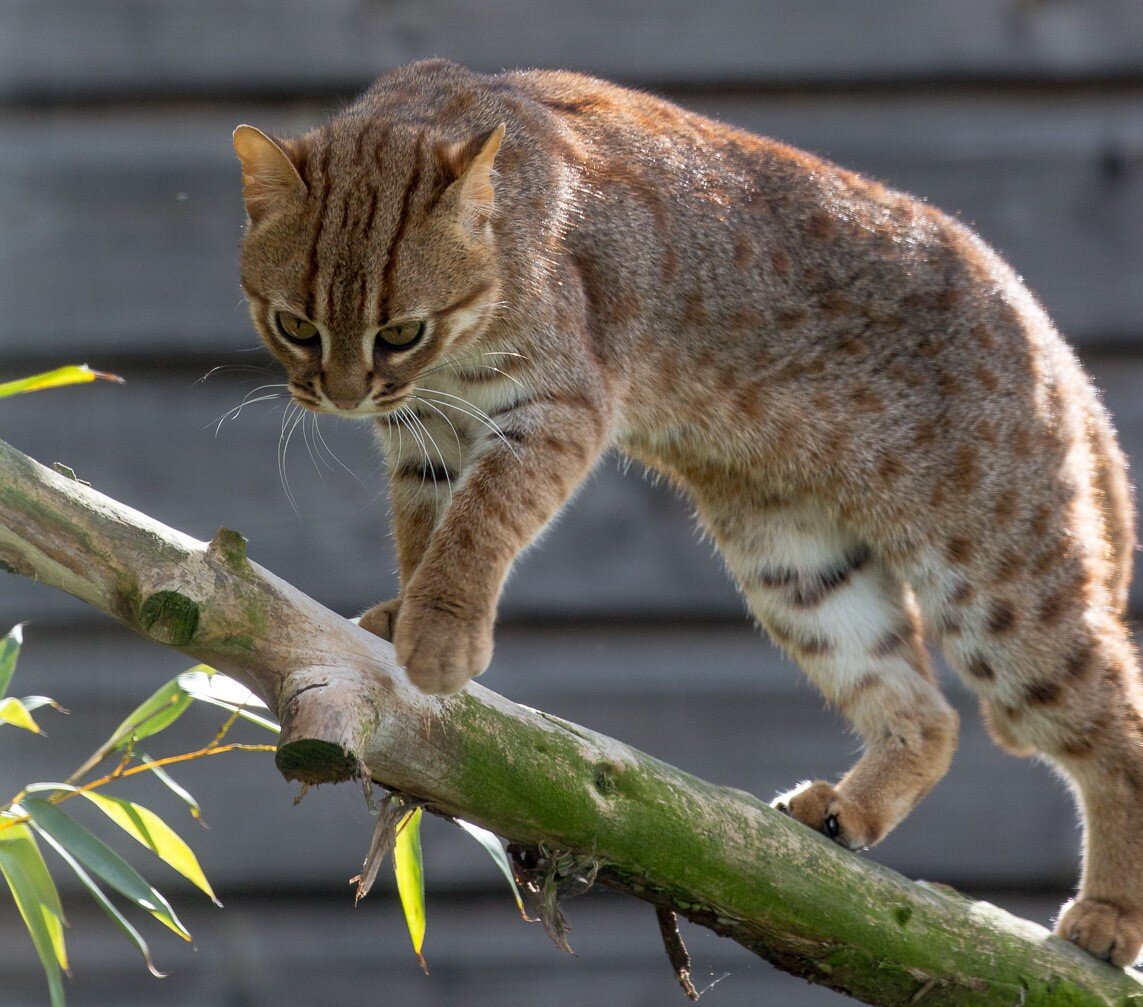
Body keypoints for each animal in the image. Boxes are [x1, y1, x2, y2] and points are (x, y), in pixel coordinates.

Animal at [234, 56, 1143, 964]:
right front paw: (404, 612)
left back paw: (1108, 915)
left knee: (1114, 712)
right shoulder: (427, 432)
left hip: (990, 572)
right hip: (794, 556)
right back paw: (851, 808)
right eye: (294, 324)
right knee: (930, 712)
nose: (342, 396)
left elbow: (482, 515)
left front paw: (441, 633)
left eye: (400, 331)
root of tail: (1028, 303)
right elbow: (424, 523)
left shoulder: (557, 404)